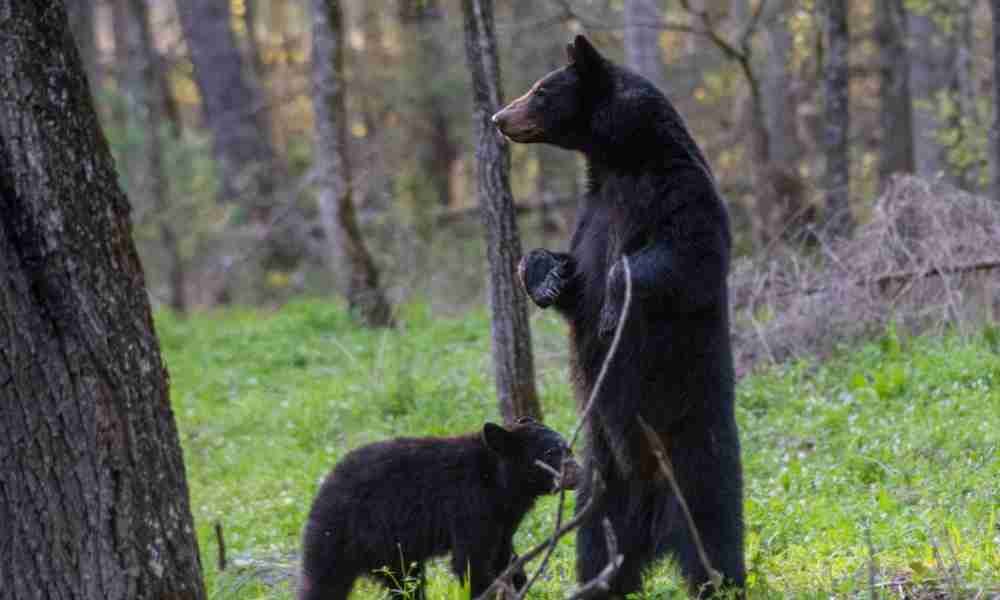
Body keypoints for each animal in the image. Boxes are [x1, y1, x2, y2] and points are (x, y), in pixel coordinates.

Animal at [296, 418, 580, 600]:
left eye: (569, 447)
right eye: (551, 452)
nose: (578, 472)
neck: (500, 482)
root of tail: (320, 492)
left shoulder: (503, 518)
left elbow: (505, 557)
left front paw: (518, 582)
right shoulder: (469, 504)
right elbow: (472, 562)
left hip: (390, 552)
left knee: (405, 584)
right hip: (344, 537)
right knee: (324, 584)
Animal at [496, 36, 748, 596]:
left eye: (541, 90)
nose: (500, 116)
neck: (620, 161)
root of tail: (653, 520)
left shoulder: (680, 193)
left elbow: (686, 255)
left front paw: (616, 305)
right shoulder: (591, 216)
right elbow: (573, 277)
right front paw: (544, 275)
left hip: (697, 453)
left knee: (714, 532)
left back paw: (720, 580)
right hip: (599, 480)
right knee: (593, 544)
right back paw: (598, 582)